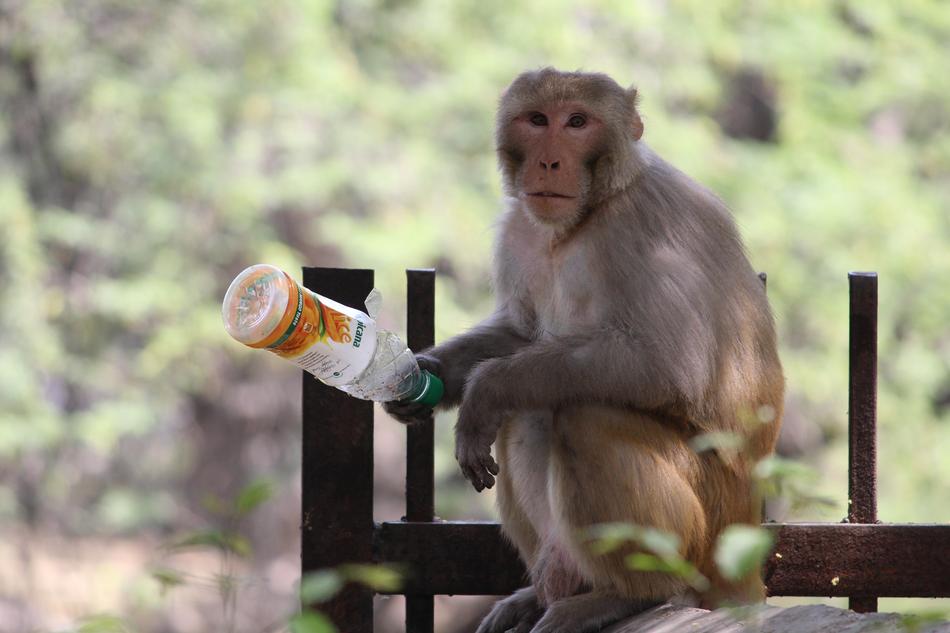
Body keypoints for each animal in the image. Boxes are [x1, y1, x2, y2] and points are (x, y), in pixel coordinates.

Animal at [385, 67, 784, 633]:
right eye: (537, 120)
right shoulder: (519, 228)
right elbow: (521, 336)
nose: (549, 161)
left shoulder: (646, 231)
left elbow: (667, 367)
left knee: (583, 416)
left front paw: (484, 390)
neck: (585, 217)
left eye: (577, 122)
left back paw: (633, 595)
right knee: (528, 412)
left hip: (710, 527)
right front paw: (424, 375)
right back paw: (546, 593)